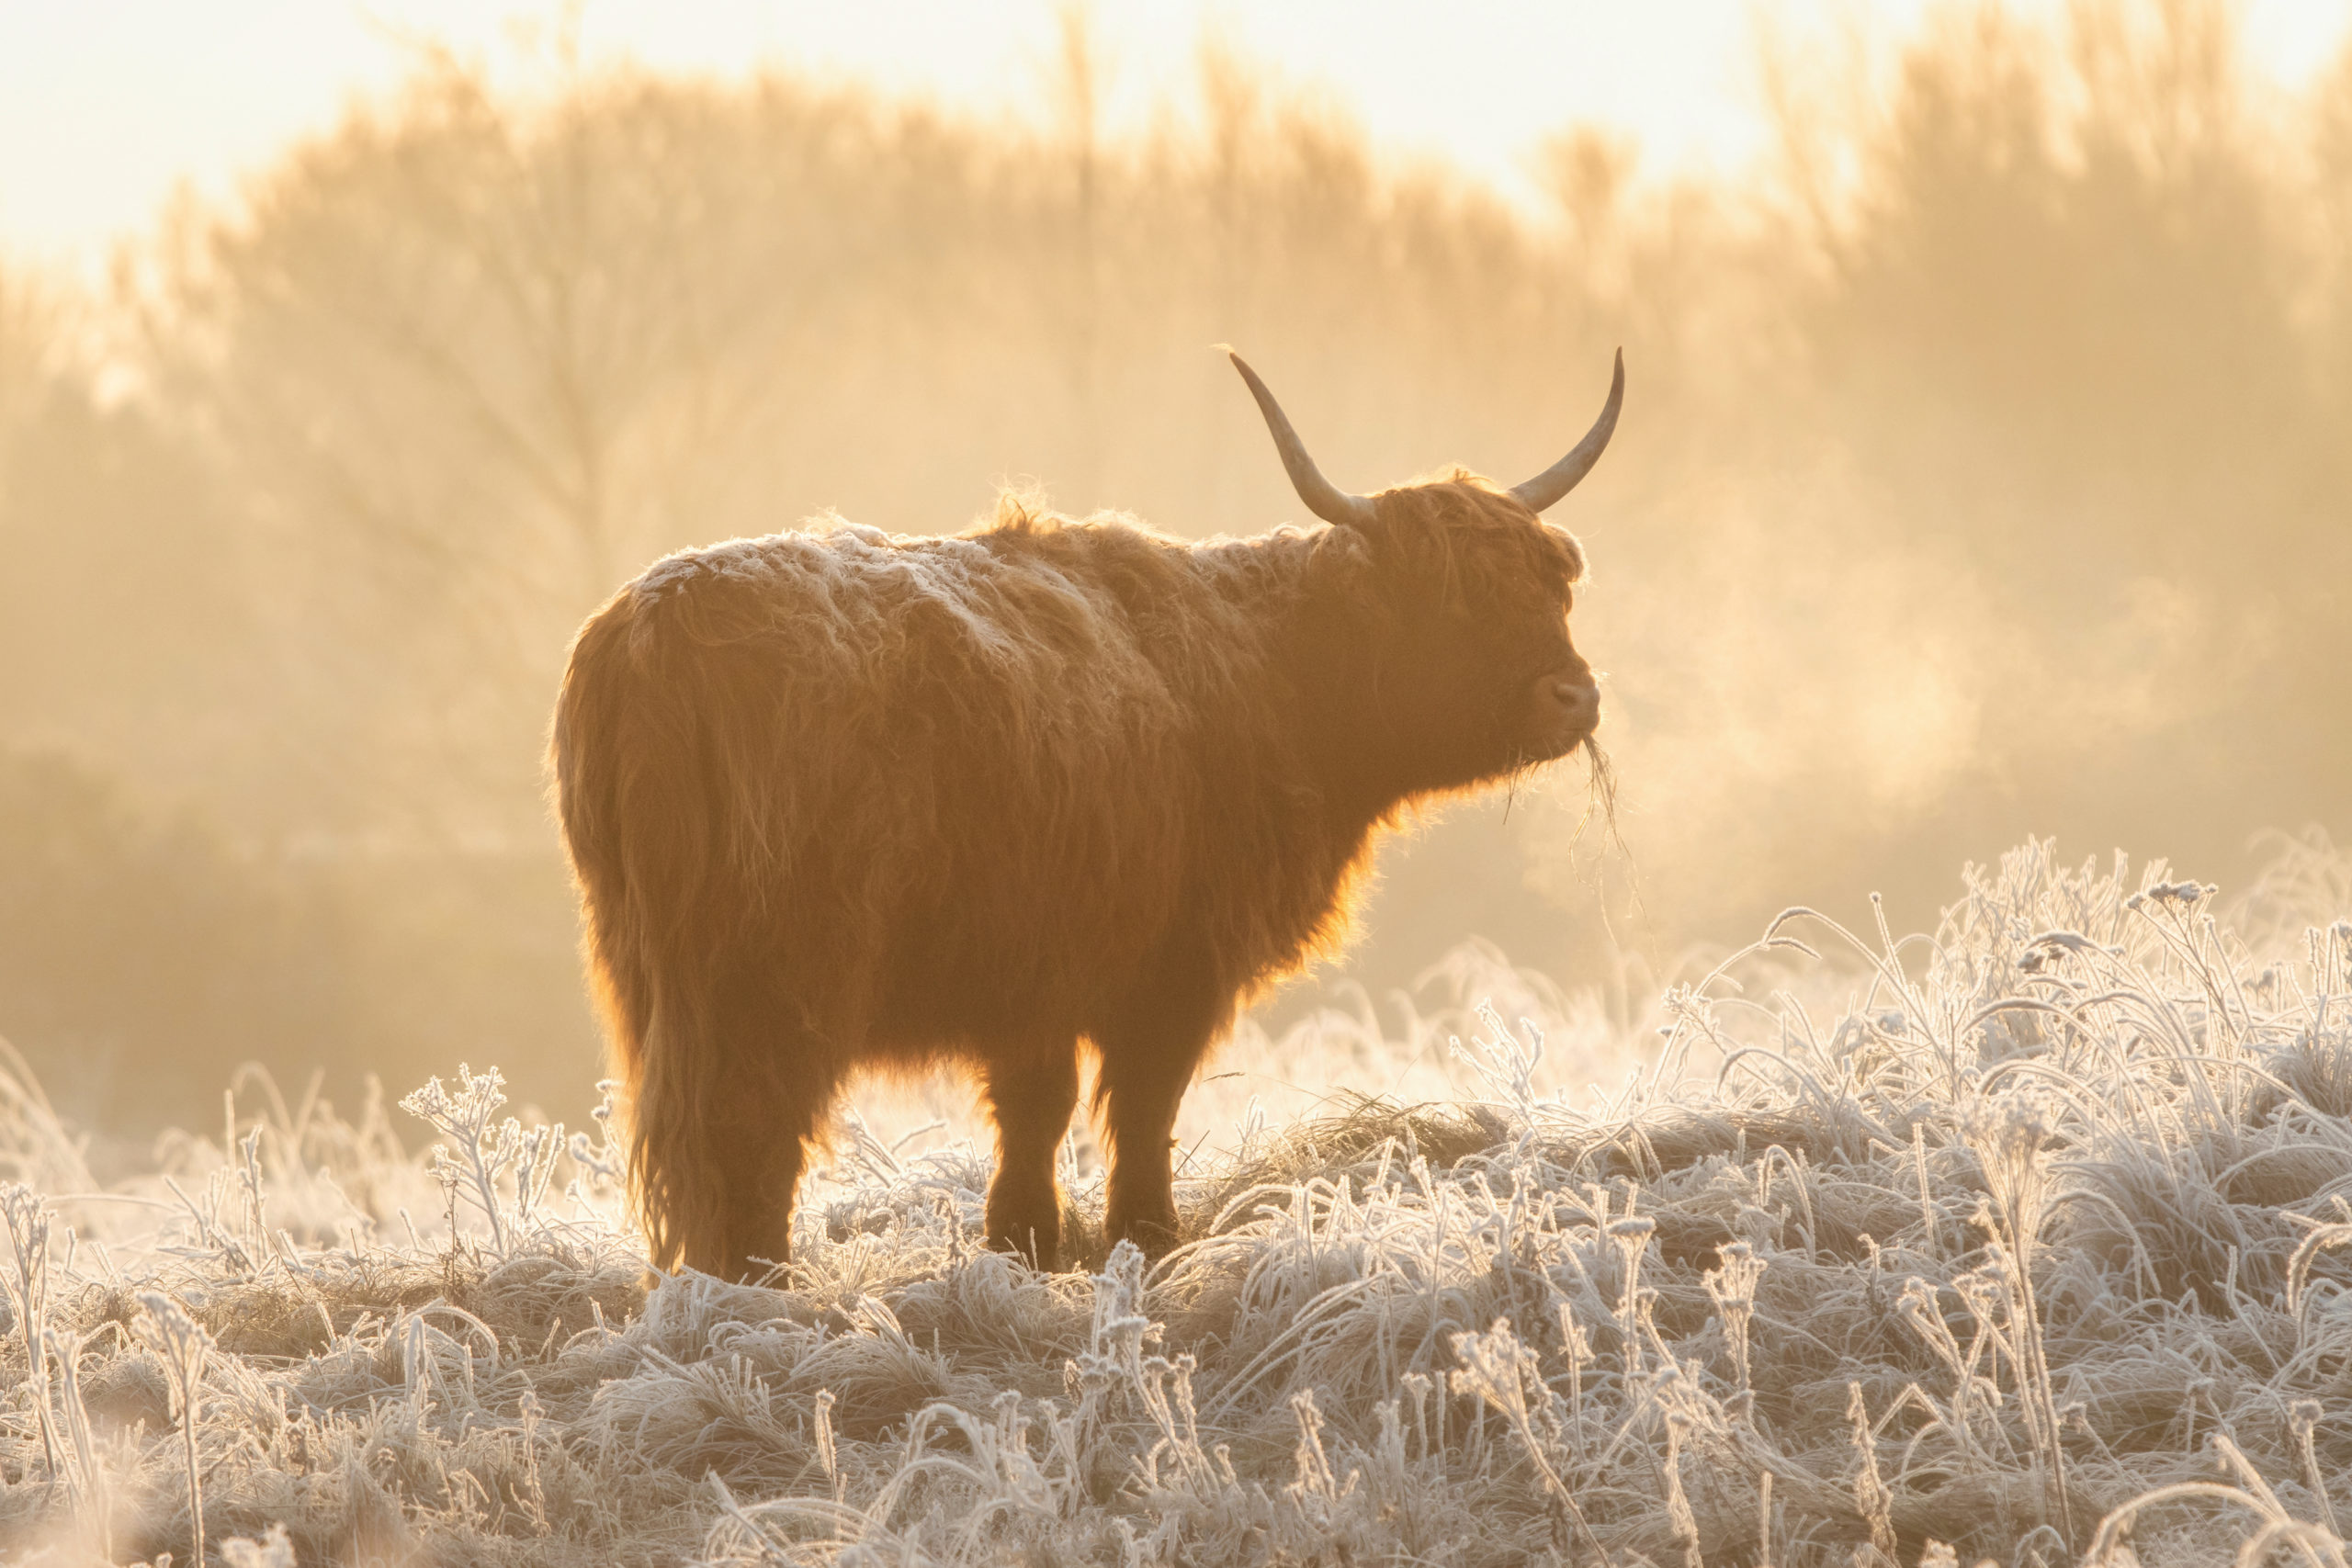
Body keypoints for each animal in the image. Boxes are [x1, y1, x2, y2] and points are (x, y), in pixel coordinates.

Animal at [550, 350, 1618, 1279]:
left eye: (1553, 583)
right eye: (1454, 594)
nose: (1576, 695)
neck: (1265, 669)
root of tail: (653, 624)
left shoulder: (1035, 975)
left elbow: (1034, 1112)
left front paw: (1022, 1244)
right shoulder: (1172, 968)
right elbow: (1140, 1111)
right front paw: (1149, 1241)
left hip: (653, 972)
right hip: (775, 978)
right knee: (749, 1129)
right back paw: (758, 1290)